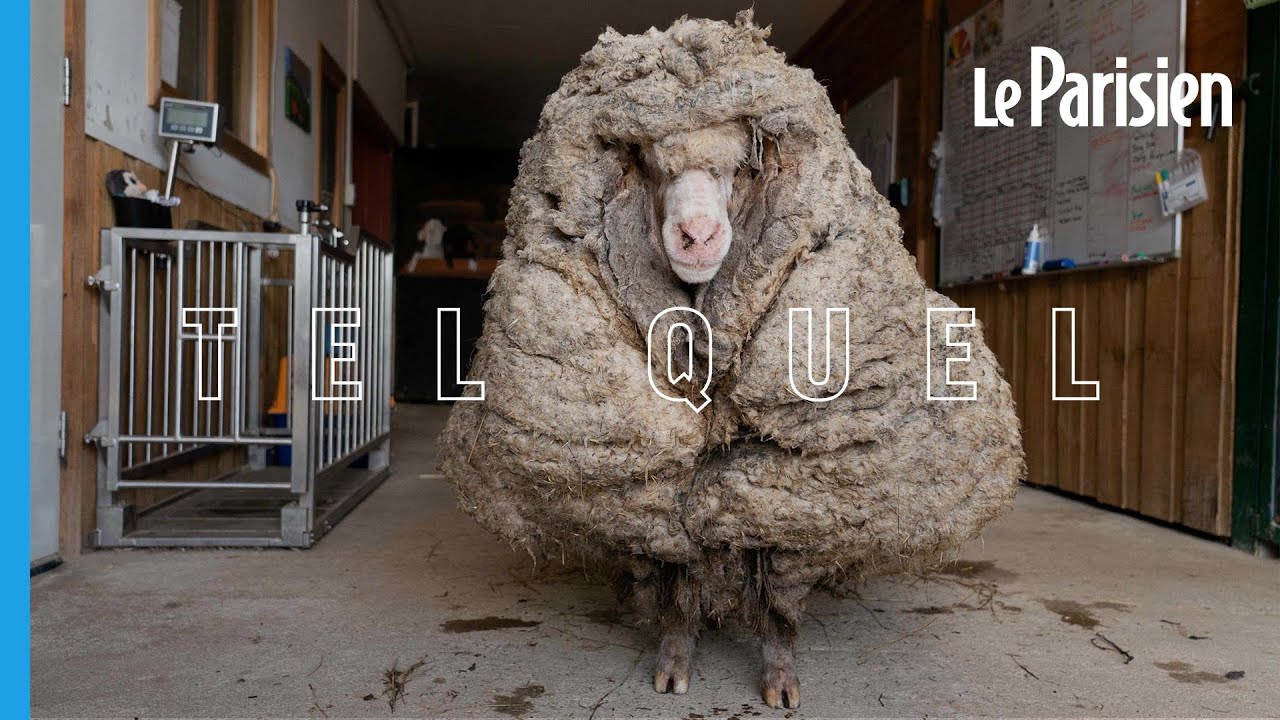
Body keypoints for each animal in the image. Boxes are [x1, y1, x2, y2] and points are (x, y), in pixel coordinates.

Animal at [440, 11, 1025, 710]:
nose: (696, 236)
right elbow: (671, 559)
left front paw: (778, 673)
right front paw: (675, 656)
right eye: (649, 164)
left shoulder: (793, 477)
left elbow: (771, 577)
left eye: (743, 169)